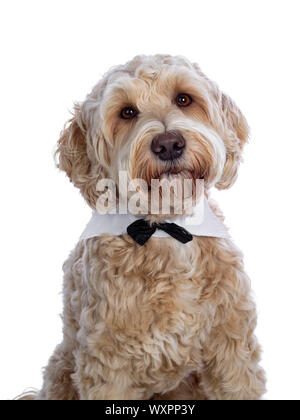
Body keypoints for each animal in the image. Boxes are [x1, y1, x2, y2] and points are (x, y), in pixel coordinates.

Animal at [21, 55, 266, 400]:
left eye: (183, 99)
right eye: (127, 112)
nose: (168, 144)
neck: (165, 226)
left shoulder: (232, 351)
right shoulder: (108, 366)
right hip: (61, 367)